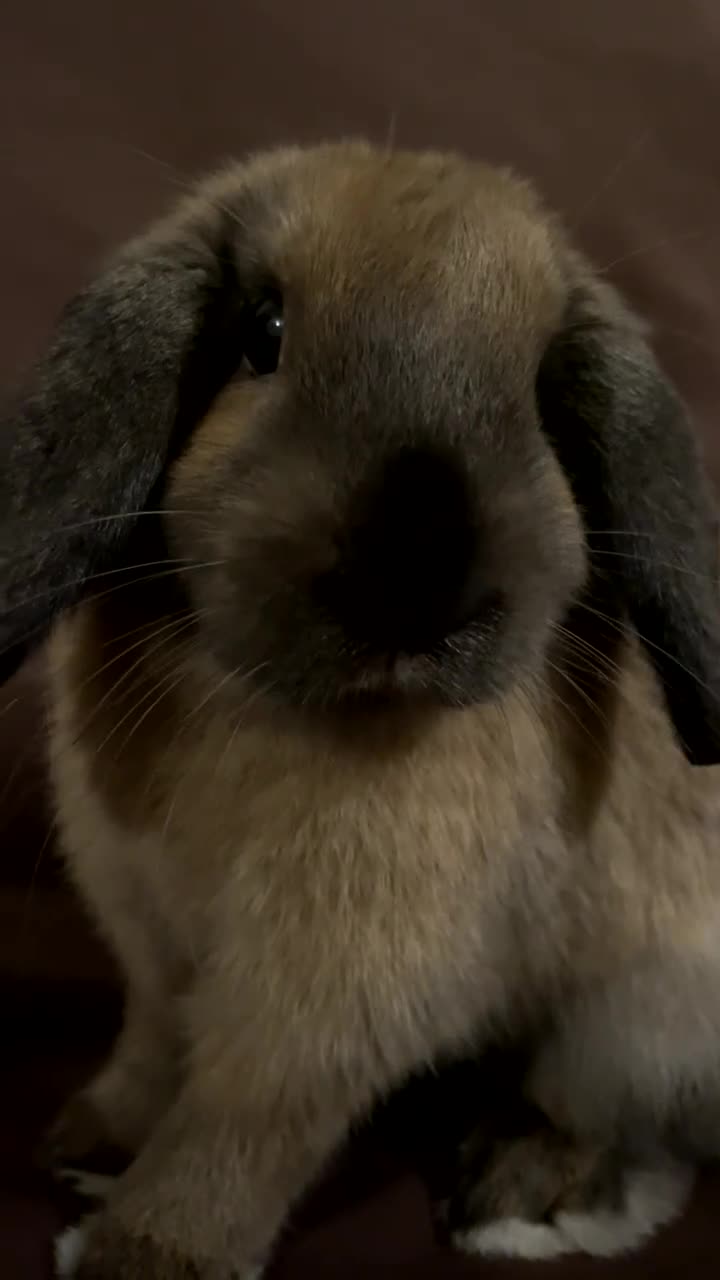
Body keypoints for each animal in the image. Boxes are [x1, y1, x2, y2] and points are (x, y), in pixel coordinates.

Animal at [2, 140, 720, 1277]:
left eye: (536, 393)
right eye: (263, 333)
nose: (416, 574)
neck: (270, 704)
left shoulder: (323, 996)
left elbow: (235, 1130)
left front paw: (140, 1253)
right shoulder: (150, 936)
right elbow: (153, 1046)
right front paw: (87, 1140)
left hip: (637, 1021)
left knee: (618, 1125)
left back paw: (518, 1191)